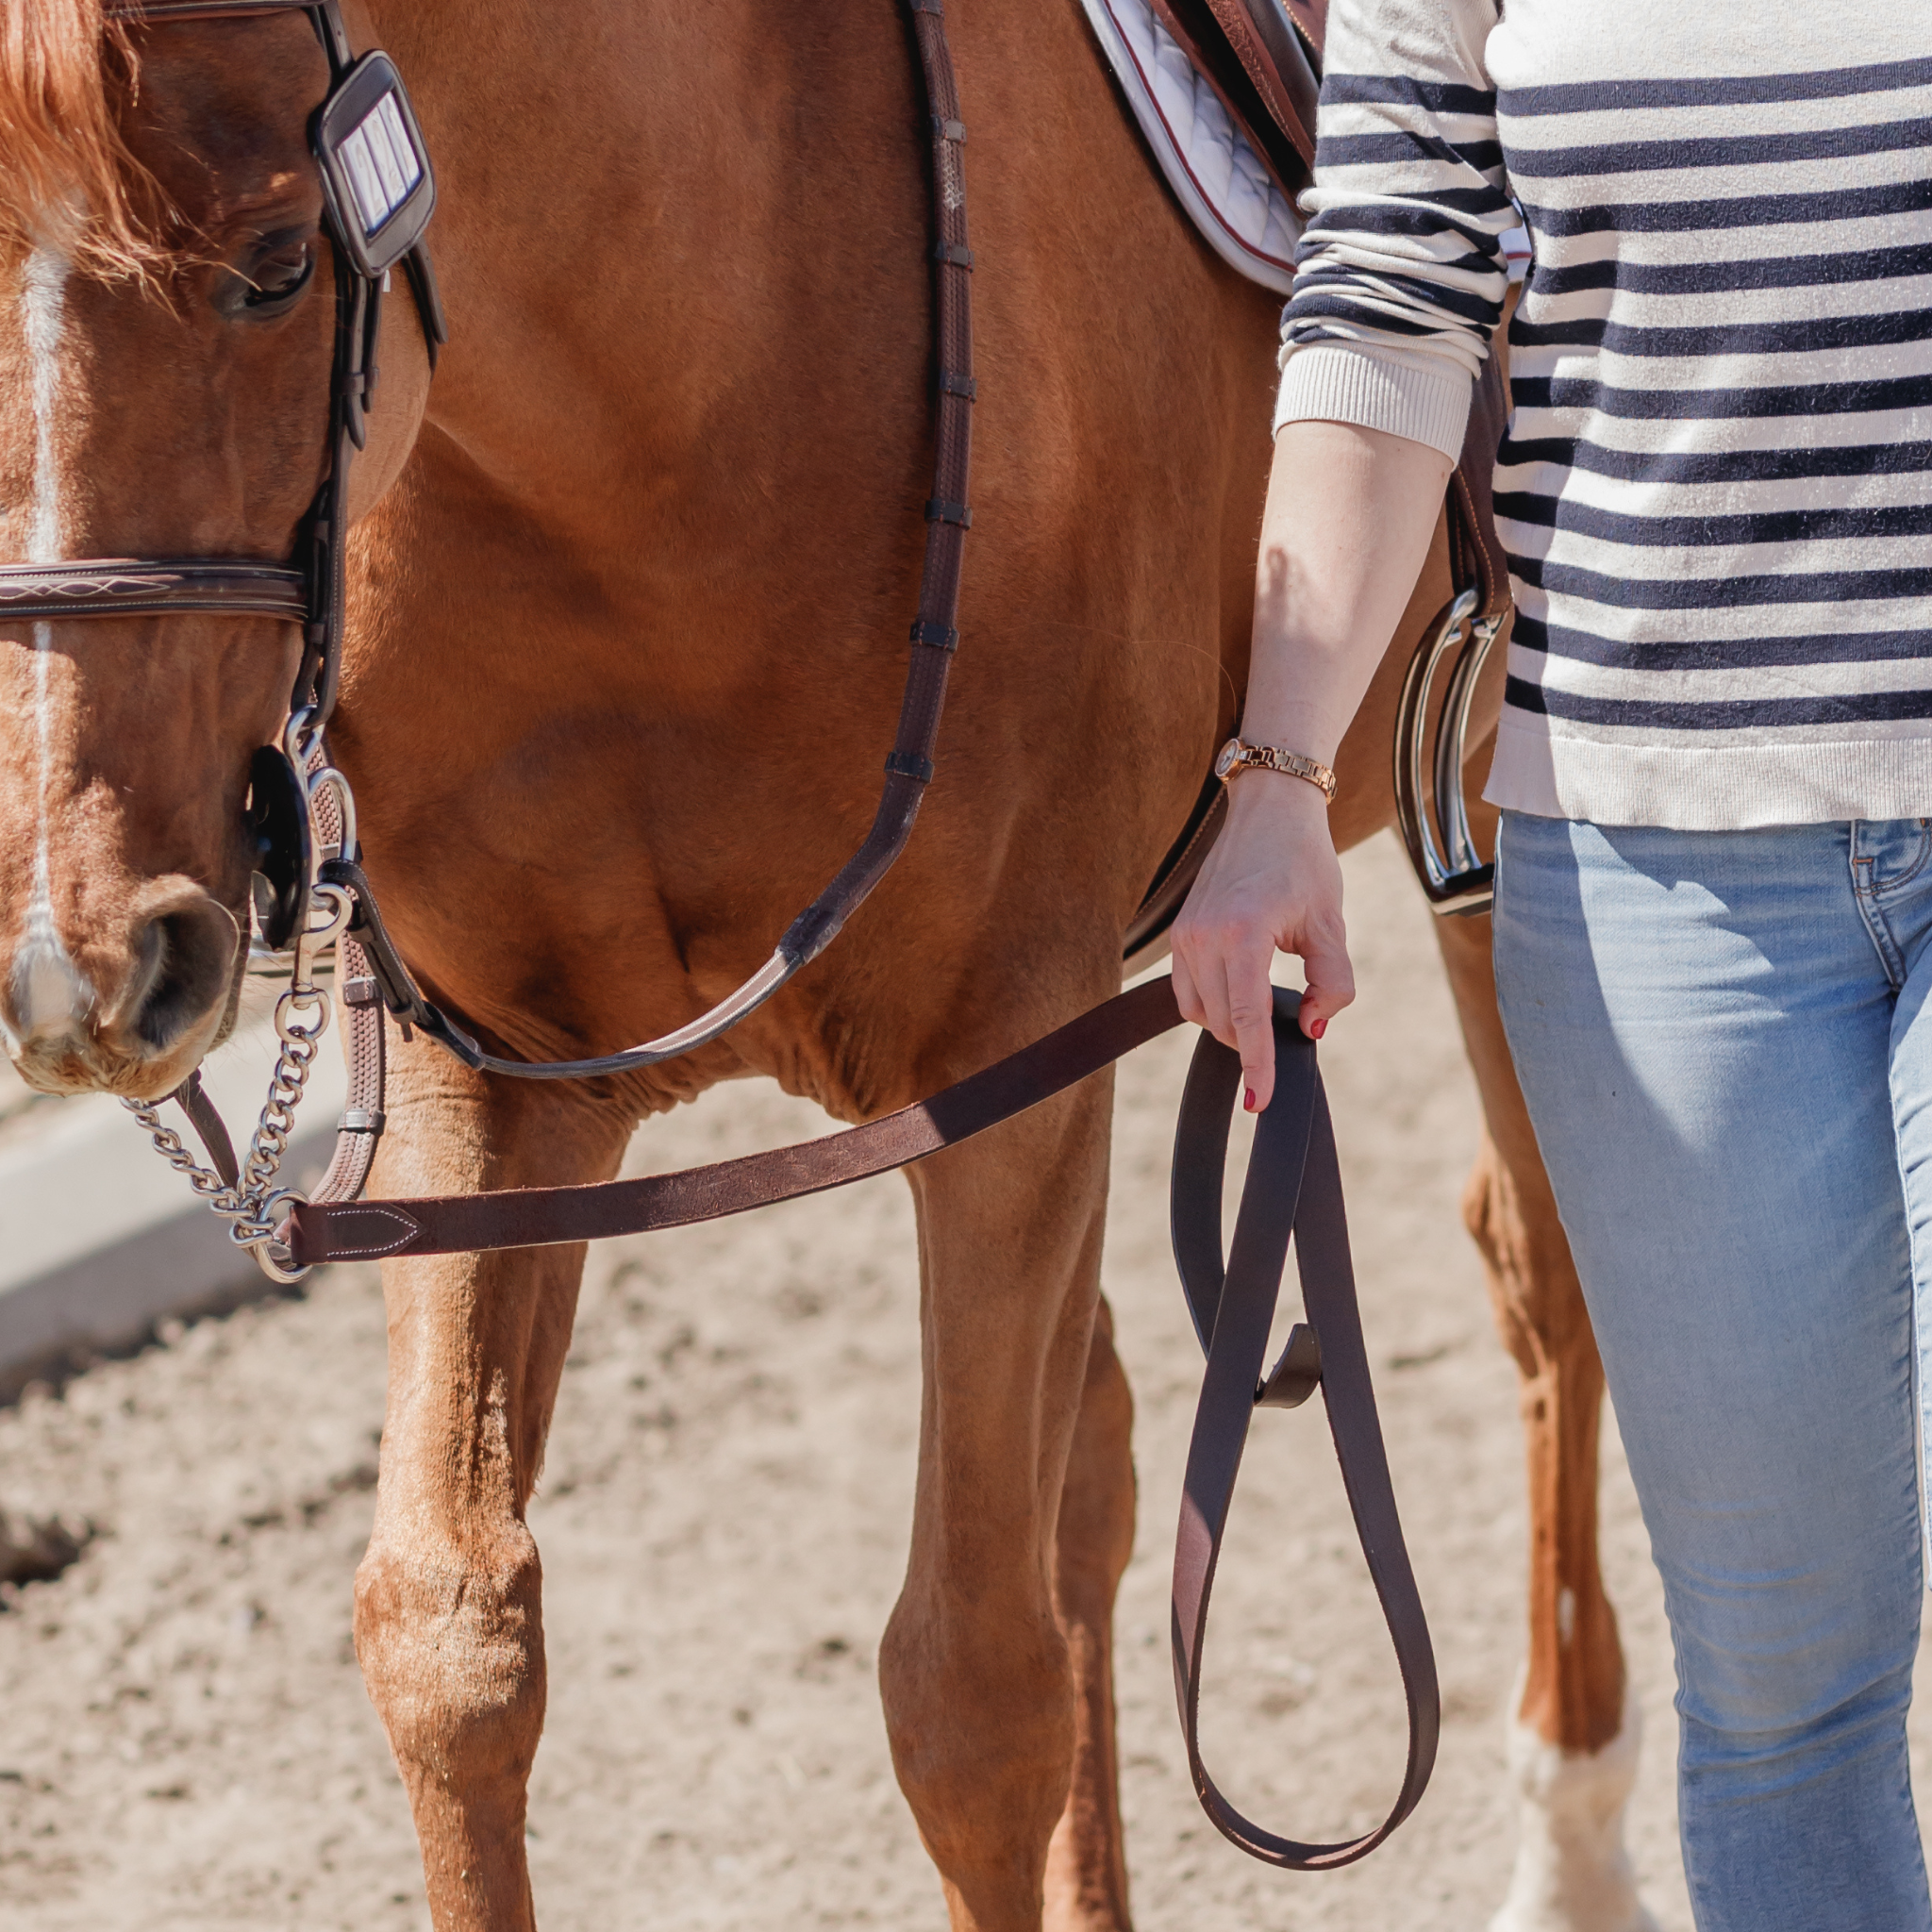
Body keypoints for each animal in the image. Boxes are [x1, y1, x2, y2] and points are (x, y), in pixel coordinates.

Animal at [0, 0, 1641, 1926]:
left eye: (269, 270)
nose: (90, 964)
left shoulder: (1001, 1082)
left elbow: (971, 1693)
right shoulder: (490, 1106)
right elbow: (448, 1640)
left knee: (1550, 1266)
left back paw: (1575, 1839)